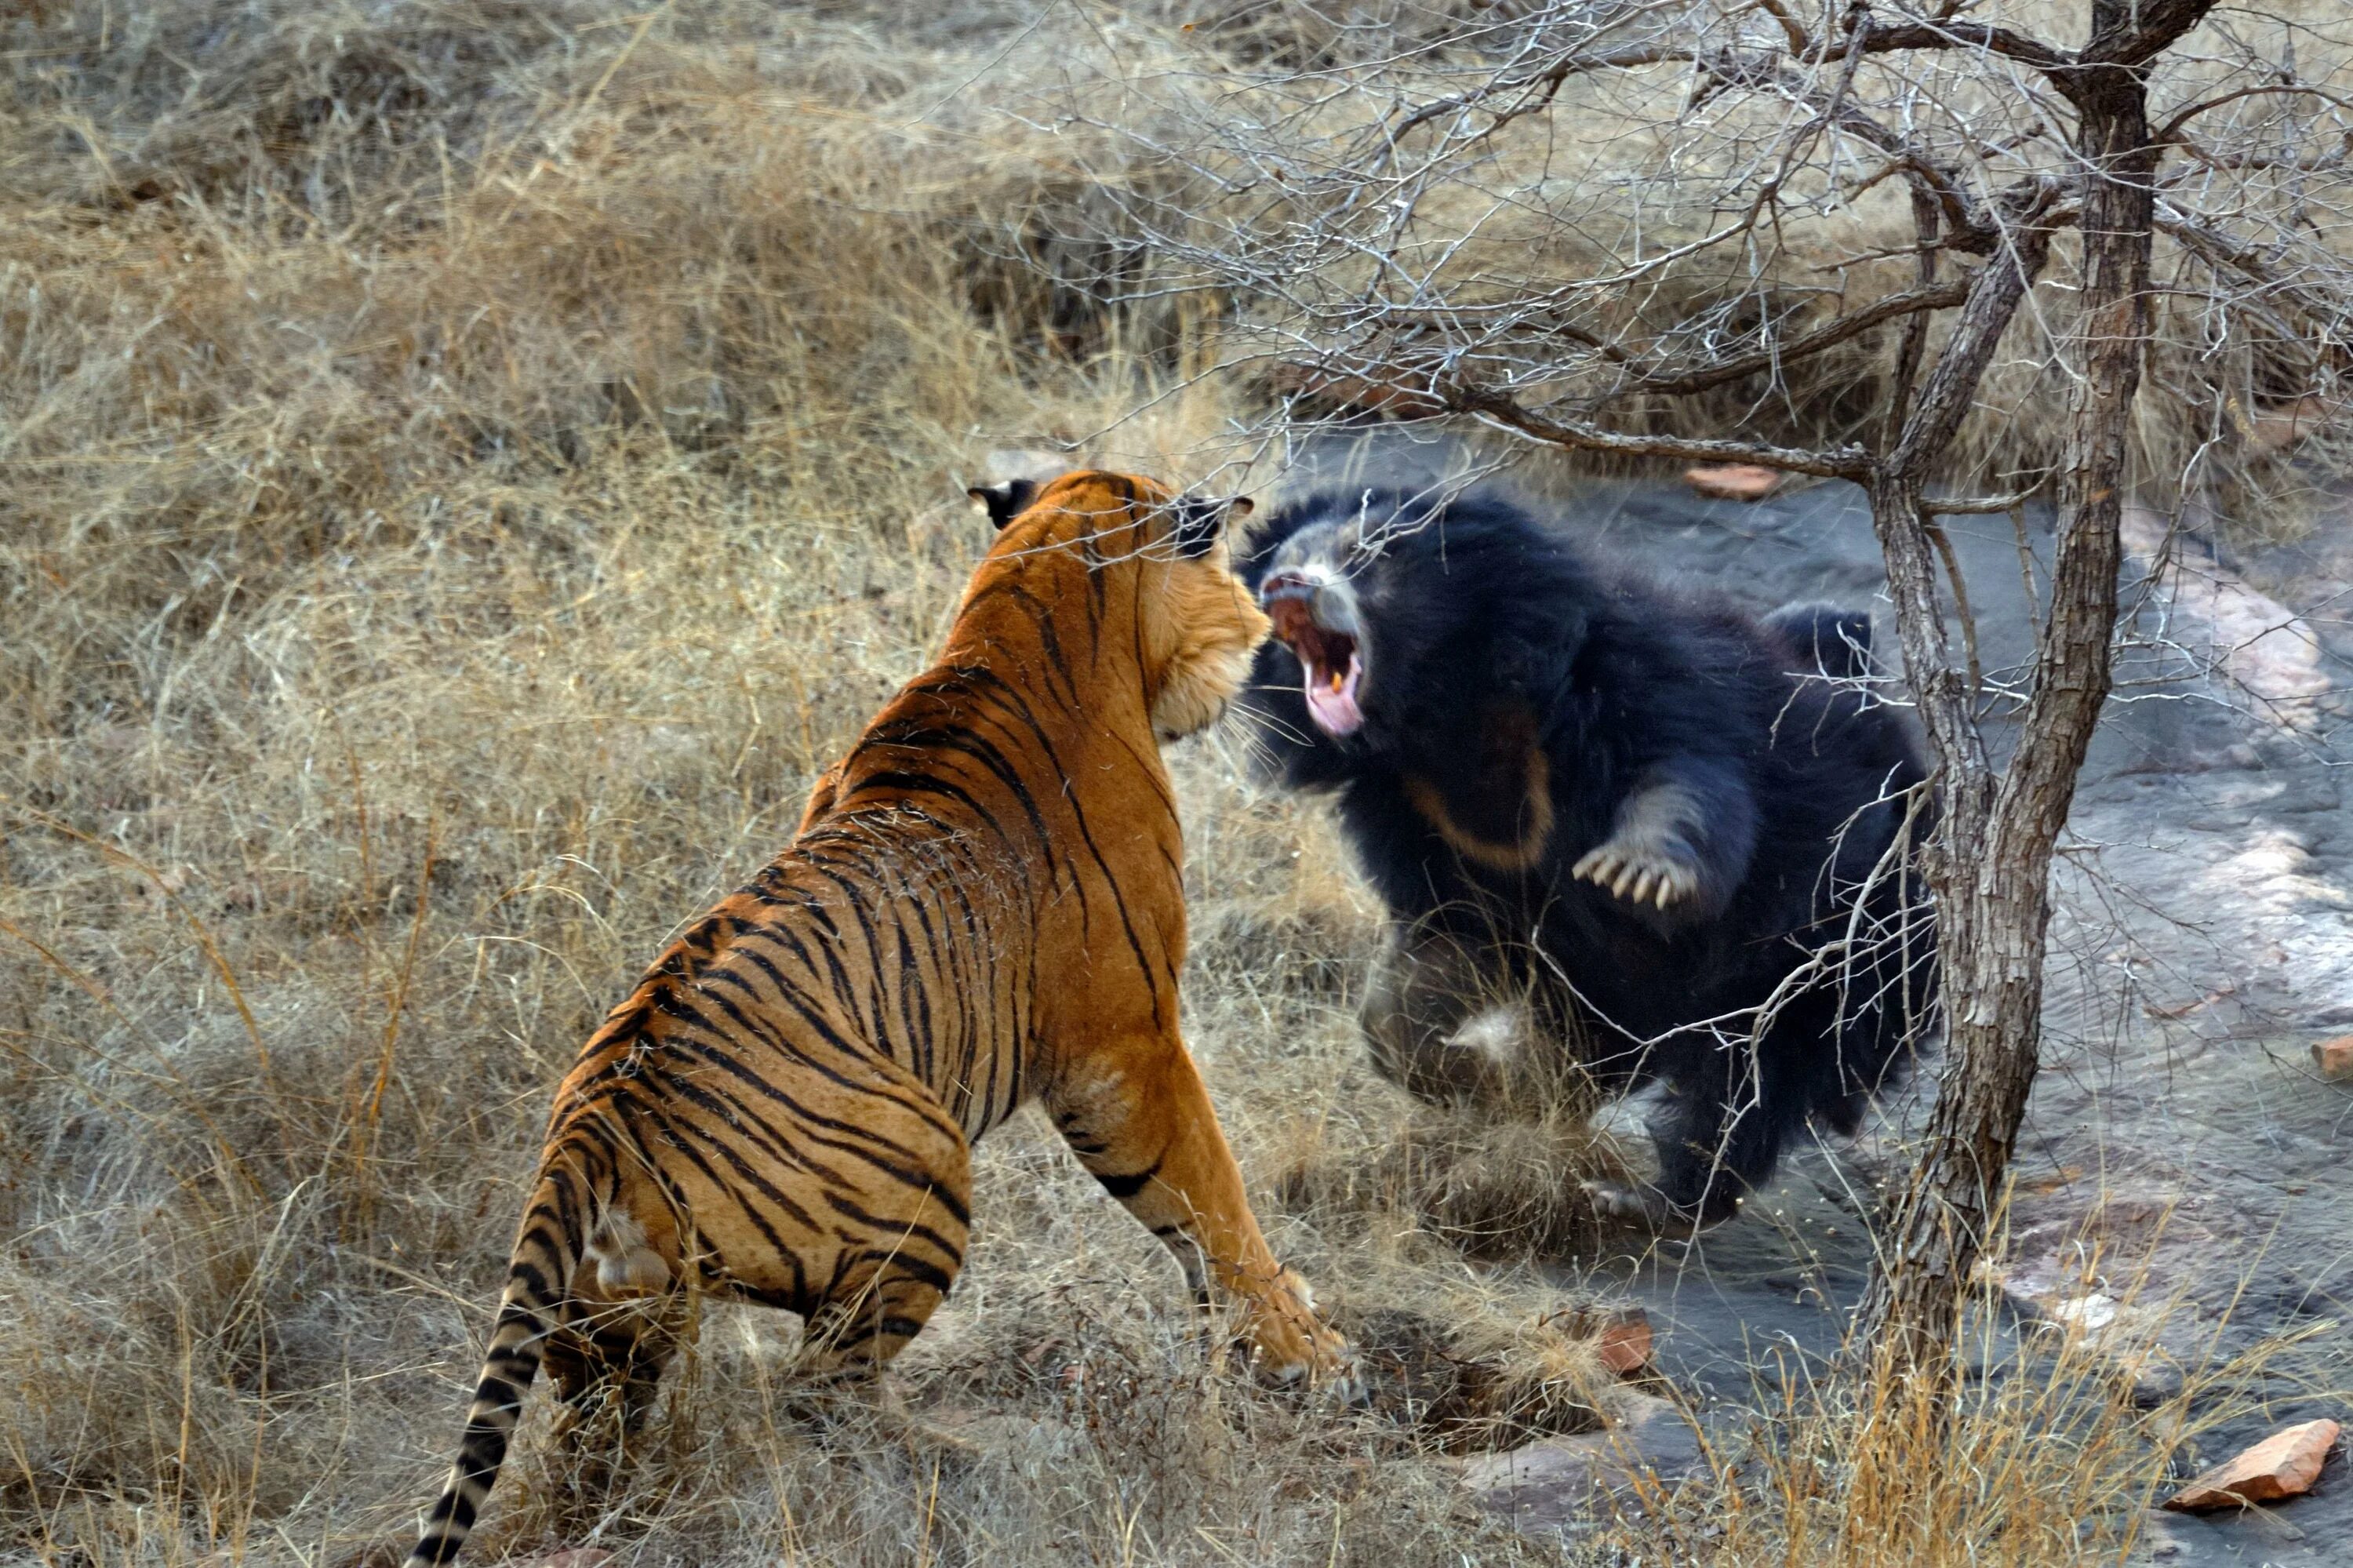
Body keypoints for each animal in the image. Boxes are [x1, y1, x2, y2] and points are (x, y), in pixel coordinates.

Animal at [402, 466, 1355, 1563]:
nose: (1259, 624)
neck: (1024, 609)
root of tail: (587, 1127)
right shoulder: (1128, 1044)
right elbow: (1212, 1198)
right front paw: (1308, 1352)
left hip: (610, 1330)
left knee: (599, 1442)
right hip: (924, 1170)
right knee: (818, 1392)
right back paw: (983, 1457)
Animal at [1242, 482, 1939, 1224]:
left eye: (1366, 555)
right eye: (1280, 564)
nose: (1286, 588)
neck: (1446, 716)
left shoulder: (1637, 683)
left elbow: (1685, 781)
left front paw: (1636, 874)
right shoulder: (1416, 814)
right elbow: (1437, 955)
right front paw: (1482, 1078)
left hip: (1846, 946)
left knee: (1753, 1082)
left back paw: (1650, 1197)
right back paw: (1554, 1093)